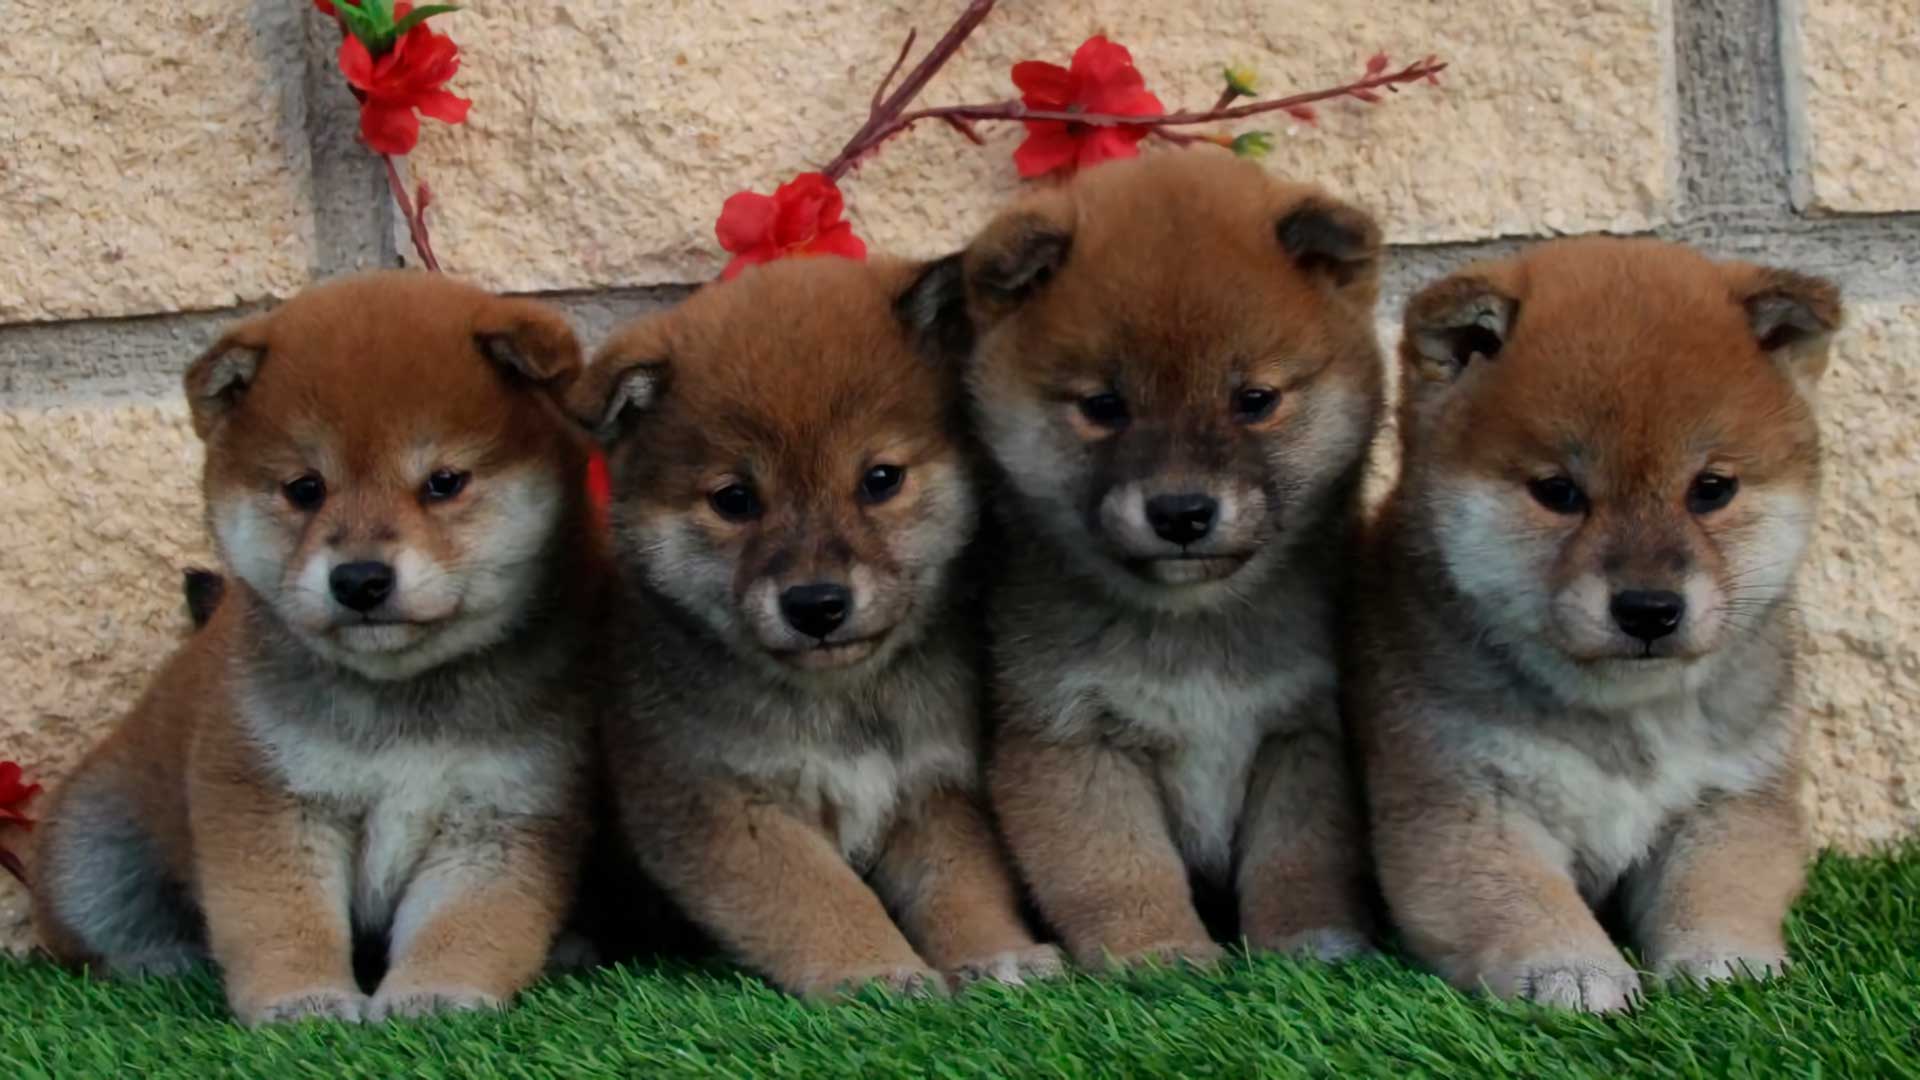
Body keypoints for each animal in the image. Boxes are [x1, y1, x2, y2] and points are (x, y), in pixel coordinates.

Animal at [35, 272, 606, 1022]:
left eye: (444, 483)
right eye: (305, 488)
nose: (360, 579)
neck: (400, 699)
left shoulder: (502, 813)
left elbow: (464, 921)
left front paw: (435, 992)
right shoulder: (268, 799)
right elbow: (282, 919)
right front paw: (300, 999)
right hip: (94, 847)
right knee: (98, 923)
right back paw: (158, 958)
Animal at [568, 255, 1059, 999]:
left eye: (880, 479)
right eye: (735, 500)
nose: (816, 604)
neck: (844, 700)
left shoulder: (932, 789)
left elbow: (962, 889)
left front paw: (998, 952)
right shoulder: (726, 804)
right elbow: (825, 901)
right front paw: (875, 969)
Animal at [956, 147, 1390, 960]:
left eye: (1254, 400)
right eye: (1103, 407)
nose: (1182, 512)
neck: (1192, 623)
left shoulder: (1304, 733)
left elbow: (1299, 859)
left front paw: (1308, 939)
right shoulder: (1070, 736)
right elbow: (1117, 869)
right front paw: (1157, 953)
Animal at [1359, 235, 1835, 1006]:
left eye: (1711, 489)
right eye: (1558, 493)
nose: (1649, 608)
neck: (1622, 717)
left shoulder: (1733, 795)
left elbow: (1721, 887)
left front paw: (1724, 958)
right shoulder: (1465, 804)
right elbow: (1526, 903)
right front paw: (1574, 969)